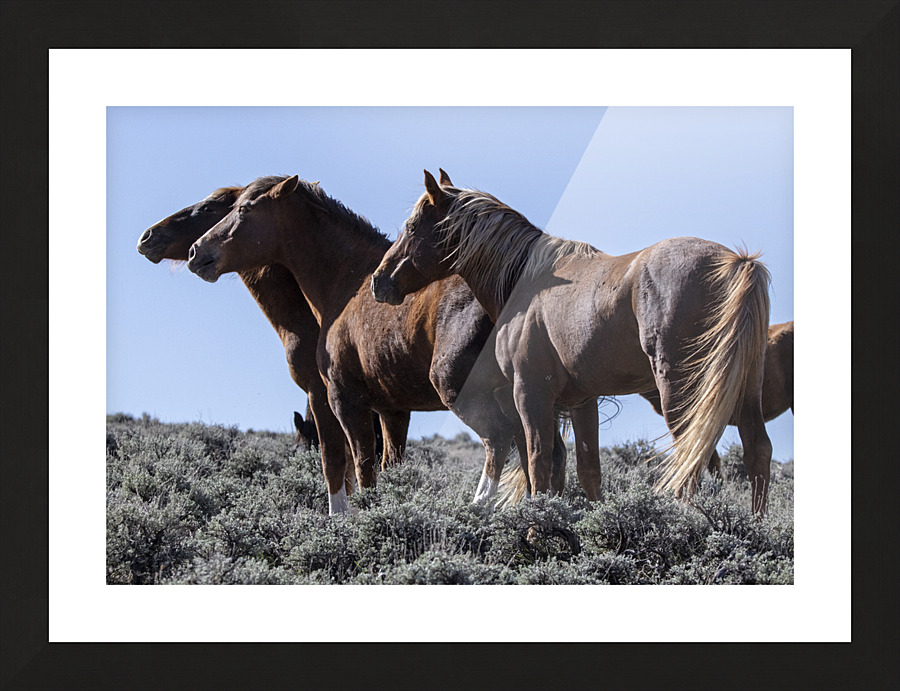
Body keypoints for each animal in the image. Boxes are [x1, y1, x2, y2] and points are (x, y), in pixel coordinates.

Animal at [185, 174, 569, 510]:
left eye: (244, 210)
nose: (195, 252)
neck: (347, 282)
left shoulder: (343, 401)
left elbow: (349, 467)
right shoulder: (392, 410)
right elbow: (388, 466)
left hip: (464, 391)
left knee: (499, 442)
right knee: (544, 453)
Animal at [371, 170, 773, 515]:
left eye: (412, 226)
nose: (379, 281)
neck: (526, 282)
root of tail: (737, 262)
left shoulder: (530, 393)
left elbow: (538, 464)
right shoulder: (583, 400)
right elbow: (588, 470)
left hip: (679, 389)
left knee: (692, 454)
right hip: (745, 387)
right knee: (757, 451)